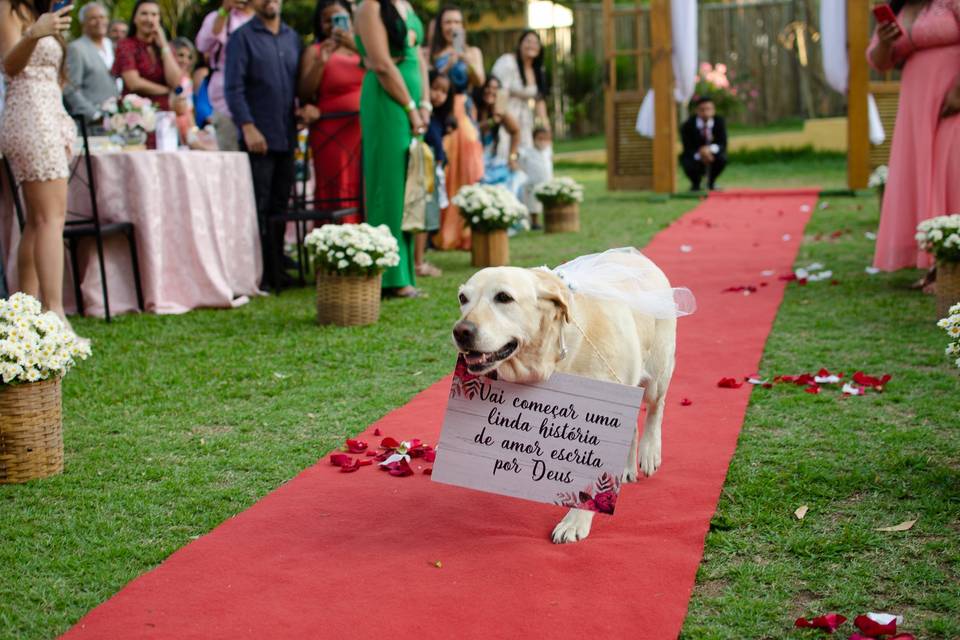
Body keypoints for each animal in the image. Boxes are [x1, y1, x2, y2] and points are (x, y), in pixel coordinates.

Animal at [454, 252, 680, 544]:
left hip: (657, 372)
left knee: (656, 406)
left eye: (503, 297)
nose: (461, 331)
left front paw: (575, 521)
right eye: (463, 298)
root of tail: (635, 255)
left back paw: (650, 452)